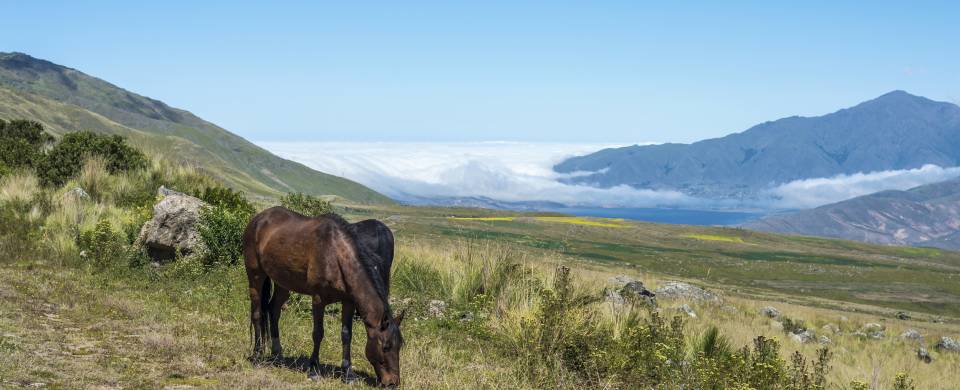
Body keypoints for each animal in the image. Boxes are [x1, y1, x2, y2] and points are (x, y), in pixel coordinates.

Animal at [244, 207, 404, 386]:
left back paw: (277, 354)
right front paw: (314, 369)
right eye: (386, 347)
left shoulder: (348, 302)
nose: (392, 382)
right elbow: (318, 333)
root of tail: (258, 219)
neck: (336, 256)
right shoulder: (318, 300)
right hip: (255, 276)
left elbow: (346, 335)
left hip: (283, 283)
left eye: (399, 347)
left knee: (273, 311)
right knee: (257, 314)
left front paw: (348, 373)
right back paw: (257, 356)